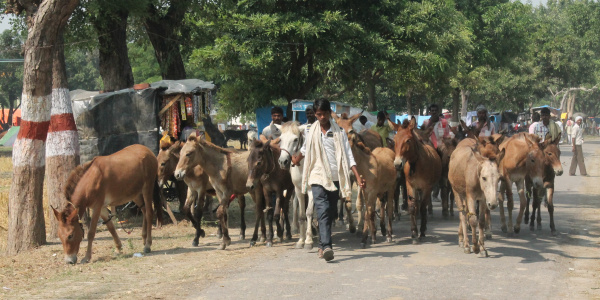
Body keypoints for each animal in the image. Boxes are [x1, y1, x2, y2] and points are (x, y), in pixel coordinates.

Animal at [276, 120, 316, 250]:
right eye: (280, 139)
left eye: (295, 139)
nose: (283, 161)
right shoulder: (298, 190)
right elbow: (302, 215)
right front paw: (301, 240)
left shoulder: (312, 190)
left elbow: (309, 212)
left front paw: (308, 241)